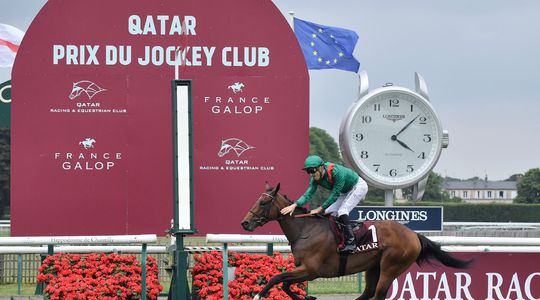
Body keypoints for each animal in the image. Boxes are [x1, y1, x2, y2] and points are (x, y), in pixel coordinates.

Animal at [240, 183, 472, 300]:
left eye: (263, 202)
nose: (245, 223)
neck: (306, 230)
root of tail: (414, 235)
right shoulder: (305, 270)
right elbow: (286, 284)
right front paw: (308, 298)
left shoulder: (311, 270)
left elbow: (276, 278)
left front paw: (258, 295)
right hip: (374, 267)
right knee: (367, 294)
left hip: (391, 266)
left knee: (377, 295)